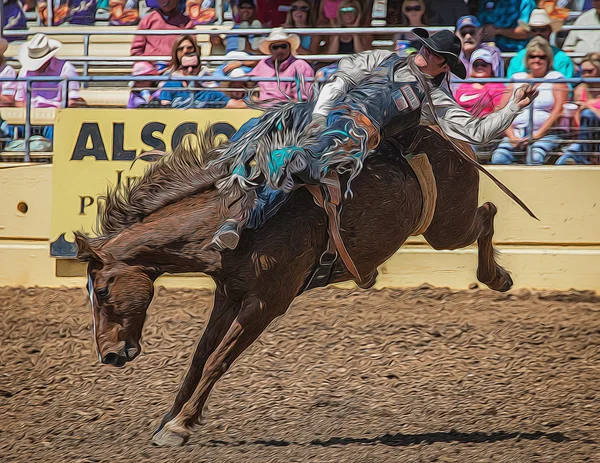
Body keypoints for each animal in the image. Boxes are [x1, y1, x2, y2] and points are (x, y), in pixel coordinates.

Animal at [76, 100, 524, 446]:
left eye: (102, 290)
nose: (109, 355)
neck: (236, 220)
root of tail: (446, 133)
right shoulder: (228, 296)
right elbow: (200, 356)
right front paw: (167, 419)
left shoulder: (265, 304)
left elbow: (219, 359)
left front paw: (181, 425)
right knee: (488, 213)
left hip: (446, 227)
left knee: (487, 214)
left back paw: (497, 278)